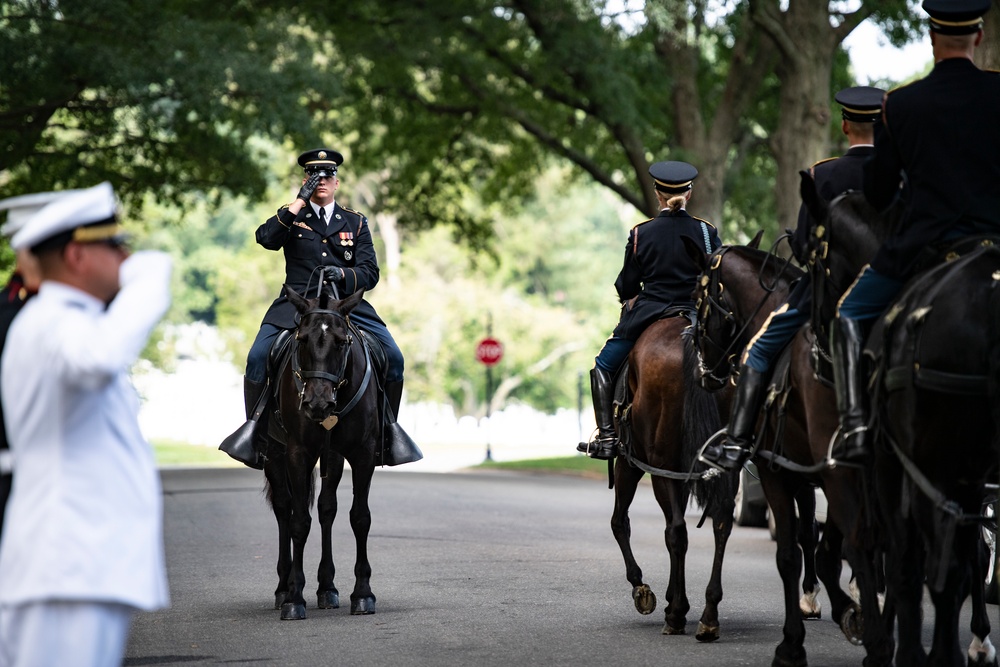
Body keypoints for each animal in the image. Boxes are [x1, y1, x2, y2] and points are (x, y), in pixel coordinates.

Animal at [264, 284, 380, 620]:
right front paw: (294, 598)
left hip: (332, 457)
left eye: (341, 342)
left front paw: (363, 594)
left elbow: (360, 517)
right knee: (284, 509)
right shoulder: (297, 452)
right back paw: (284, 587)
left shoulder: (362, 453)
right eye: (302, 339)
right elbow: (299, 521)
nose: (317, 404)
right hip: (274, 456)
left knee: (327, 508)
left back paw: (327, 587)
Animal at [604, 316, 740, 640]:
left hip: (659, 467)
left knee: (676, 531)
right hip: (724, 468)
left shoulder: (630, 462)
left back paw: (677, 614)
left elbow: (620, 523)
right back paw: (709, 613)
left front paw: (643, 588)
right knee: (721, 524)